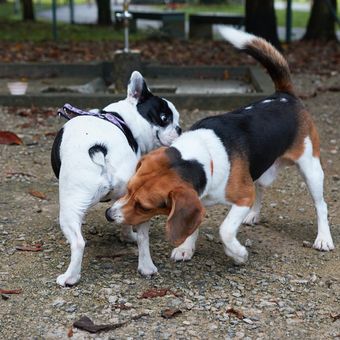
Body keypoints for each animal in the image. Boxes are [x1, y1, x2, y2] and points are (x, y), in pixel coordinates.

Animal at [50, 71, 182, 286]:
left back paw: (69, 277)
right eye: (164, 118)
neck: (124, 118)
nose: (179, 129)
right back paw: (146, 266)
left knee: (78, 242)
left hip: (70, 201)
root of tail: (100, 148)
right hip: (137, 198)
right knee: (143, 236)